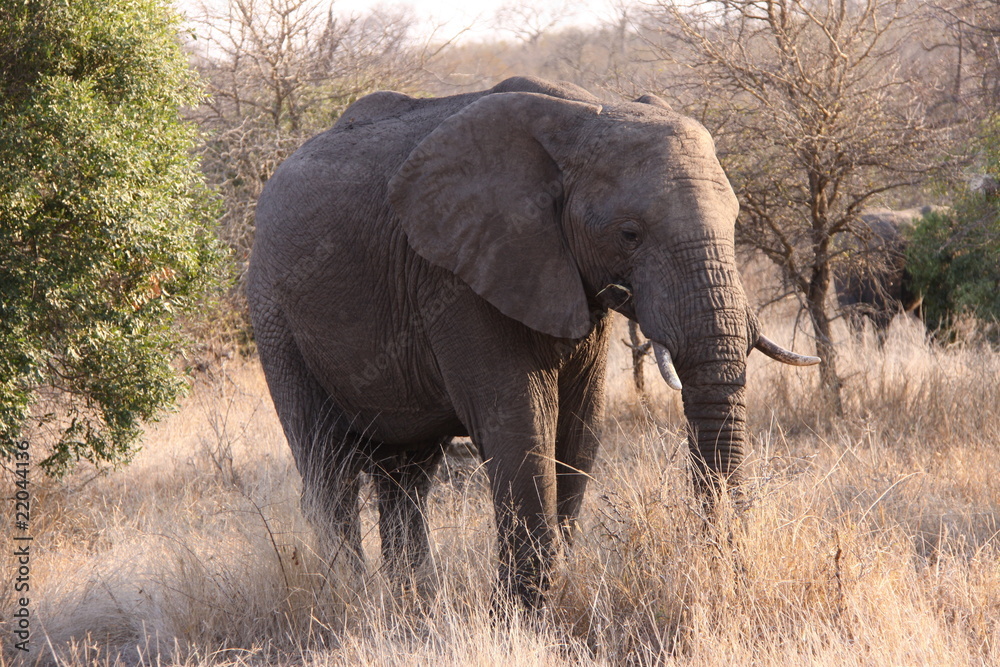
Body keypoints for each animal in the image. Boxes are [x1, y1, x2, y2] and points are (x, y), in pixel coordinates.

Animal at [247, 76, 819, 609]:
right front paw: (527, 614)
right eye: (629, 234)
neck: (584, 114)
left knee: (407, 475)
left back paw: (414, 603)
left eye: (736, 220)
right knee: (329, 468)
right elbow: (521, 428)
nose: (725, 575)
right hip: (275, 314)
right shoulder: (458, 277)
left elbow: (579, 430)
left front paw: (549, 596)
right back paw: (345, 599)